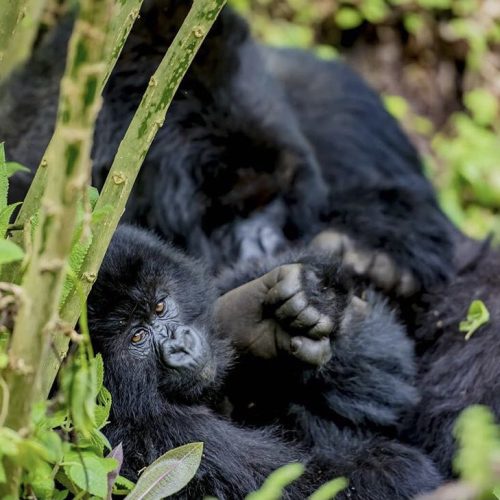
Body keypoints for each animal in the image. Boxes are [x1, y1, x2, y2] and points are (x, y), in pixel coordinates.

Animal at [87, 227, 442, 500]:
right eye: (136, 337)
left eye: (160, 307)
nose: (180, 347)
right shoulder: (159, 439)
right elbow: (310, 484)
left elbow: (391, 381)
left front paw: (293, 304)